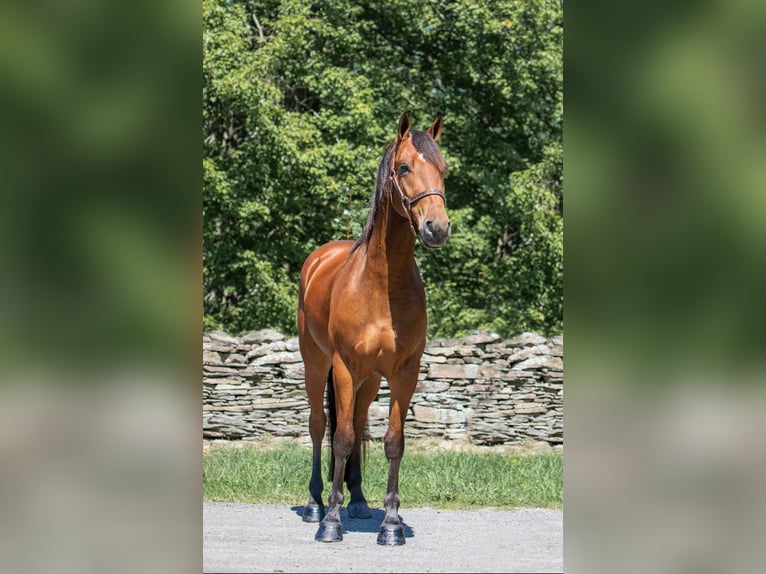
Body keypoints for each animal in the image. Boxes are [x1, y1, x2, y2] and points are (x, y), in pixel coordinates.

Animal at [296, 110, 450, 548]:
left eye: (443, 169)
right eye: (404, 167)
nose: (437, 228)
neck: (381, 285)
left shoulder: (404, 373)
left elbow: (392, 441)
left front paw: (392, 524)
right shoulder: (345, 368)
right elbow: (343, 437)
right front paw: (331, 522)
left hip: (368, 381)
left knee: (359, 422)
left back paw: (360, 501)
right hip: (318, 366)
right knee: (320, 426)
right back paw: (316, 504)